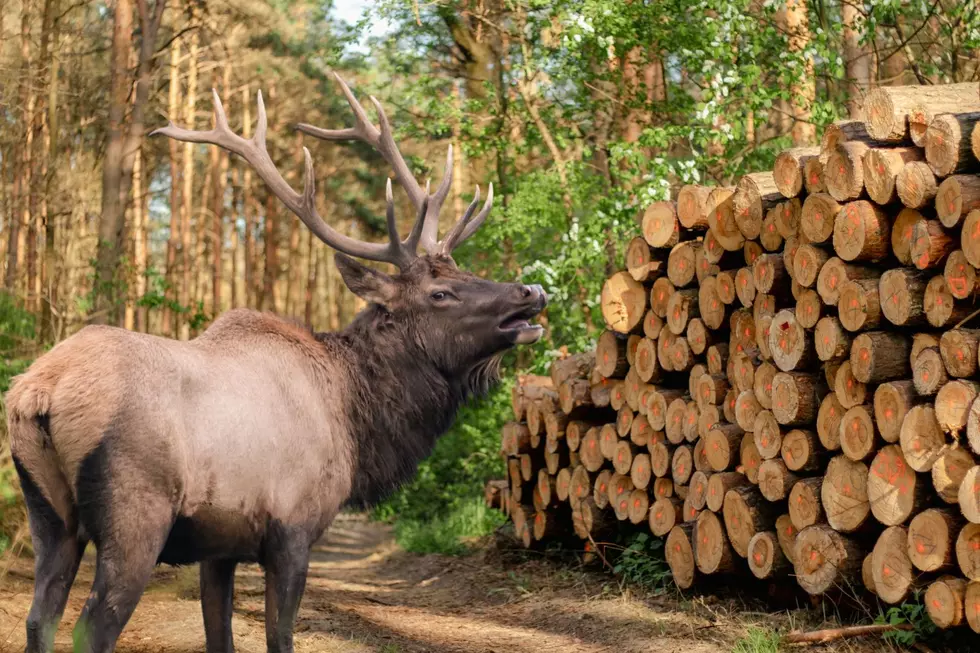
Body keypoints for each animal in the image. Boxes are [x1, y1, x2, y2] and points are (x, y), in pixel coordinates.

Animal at [6, 74, 546, 653]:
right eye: (440, 292)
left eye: (463, 269)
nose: (531, 291)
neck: (357, 421)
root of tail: (37, 393)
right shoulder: (293, 528)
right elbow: (279, 637)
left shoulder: (218, 547)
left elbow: (220, 636)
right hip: (135, 513)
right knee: (91, 628)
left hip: (49, 515)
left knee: (39, 618)